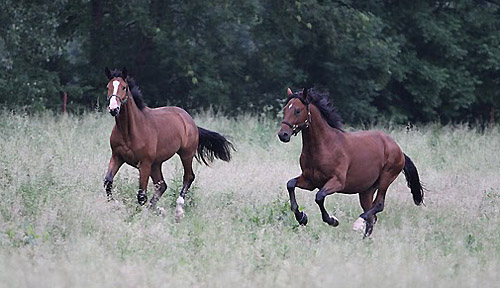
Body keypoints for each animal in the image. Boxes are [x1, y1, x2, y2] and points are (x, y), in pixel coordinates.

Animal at [103, 67, 234, 220]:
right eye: (108, 87)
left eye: (124, 87)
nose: (114, 109)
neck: (129, 131)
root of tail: (190, 121)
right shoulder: (117, 157)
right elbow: (108, 182)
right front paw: (117, 205)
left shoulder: (144, 163)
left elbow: (141, 194)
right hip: (156, 164)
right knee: (162, 185)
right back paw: (158, 209)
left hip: (185, 154)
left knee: (188, 177)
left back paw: (178, 210)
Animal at [276, 87, 424, 236]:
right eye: (285, 109)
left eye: (297, 110)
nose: (283, 135)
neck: (324, 146)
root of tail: (399, 150)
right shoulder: (310, 181)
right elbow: (290, 184)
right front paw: (302, 218)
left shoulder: (337, 182)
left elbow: (319, 196)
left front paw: (332, 220)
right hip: (367, 190)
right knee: (372, 216)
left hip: (386, 179)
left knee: (378, 205)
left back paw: (358, 223)